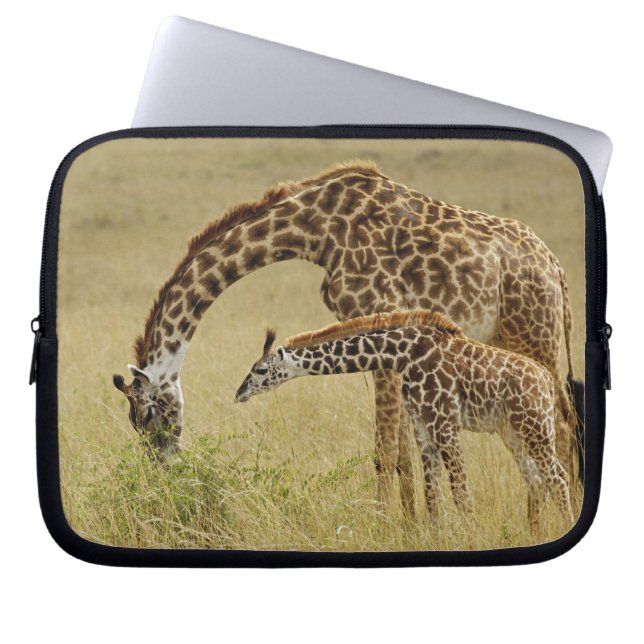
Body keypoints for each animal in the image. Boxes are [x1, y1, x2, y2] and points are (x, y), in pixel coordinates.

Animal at [234, 311, 574, 528]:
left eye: (261, 370)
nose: (239, 393)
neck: (403, 355)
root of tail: (545, 379)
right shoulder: (422, 425)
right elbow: (432, 494)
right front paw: (441, 538)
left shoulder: (445, 422)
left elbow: (461, 491)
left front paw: (472, 538)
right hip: (511, 431)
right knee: (537, 480)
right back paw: (535, 532)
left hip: (534, 427)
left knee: (558, 477)